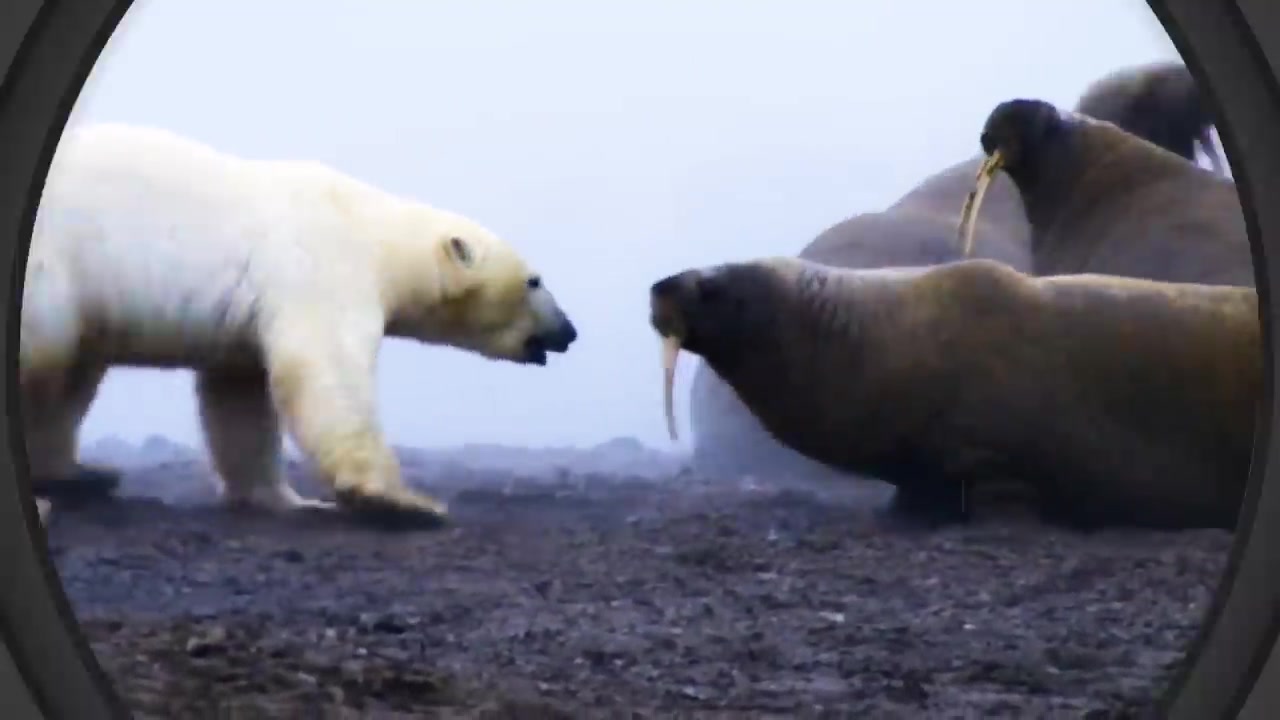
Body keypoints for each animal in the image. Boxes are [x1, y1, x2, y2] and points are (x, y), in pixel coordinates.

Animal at [20, 122, 579, 528]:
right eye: (535, 281)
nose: (569, 331)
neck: (373, 231)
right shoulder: (322, 268)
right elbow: (329, 374)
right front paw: (404, 502)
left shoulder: (247, 320)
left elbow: (239, 399)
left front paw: (287, 500)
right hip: (53, 270)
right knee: (46, 362)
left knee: (73, 375)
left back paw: (83, 475)